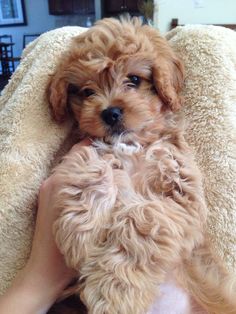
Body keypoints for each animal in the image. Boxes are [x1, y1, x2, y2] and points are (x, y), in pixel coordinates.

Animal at [48, 16, 236, 314]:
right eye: (87, 92)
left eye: (134, 79)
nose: (110, 112)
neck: (131, 146)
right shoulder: (86, 151)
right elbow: (90, 168)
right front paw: (82, 233)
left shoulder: (180, 193)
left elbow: (142, 217)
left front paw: (113, 292)